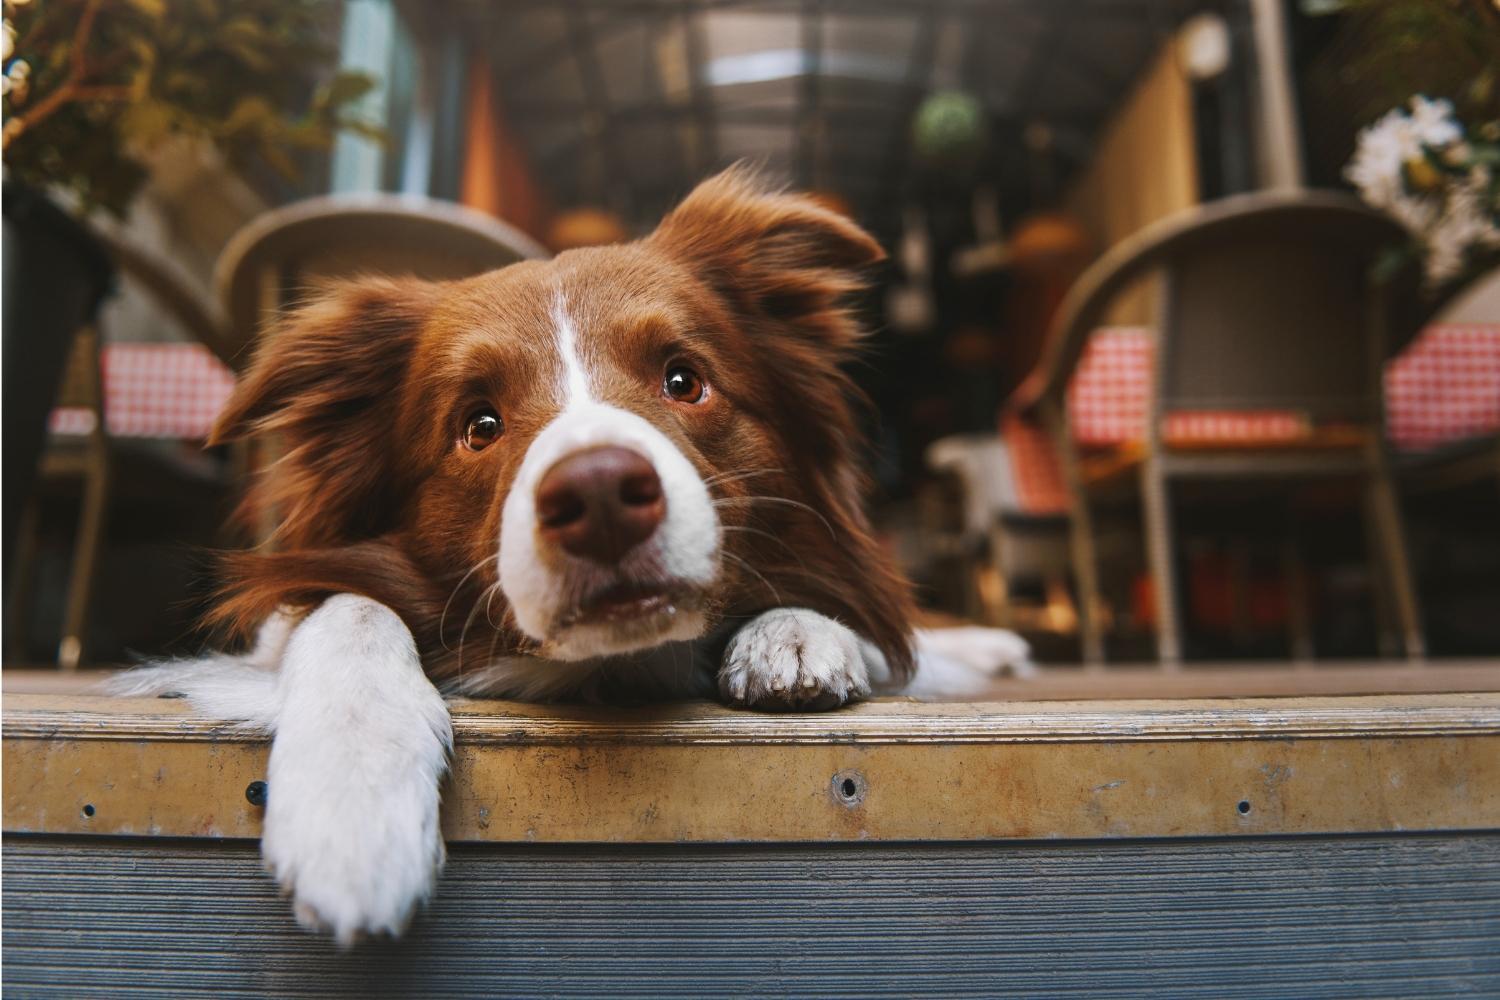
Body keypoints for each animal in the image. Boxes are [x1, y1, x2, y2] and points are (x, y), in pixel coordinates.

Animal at [114, 170, 1032, 947]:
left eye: (683, 380)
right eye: (478, 425)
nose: (598, 495)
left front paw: (797, 633)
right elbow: (348, 610)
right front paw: (353, 807)